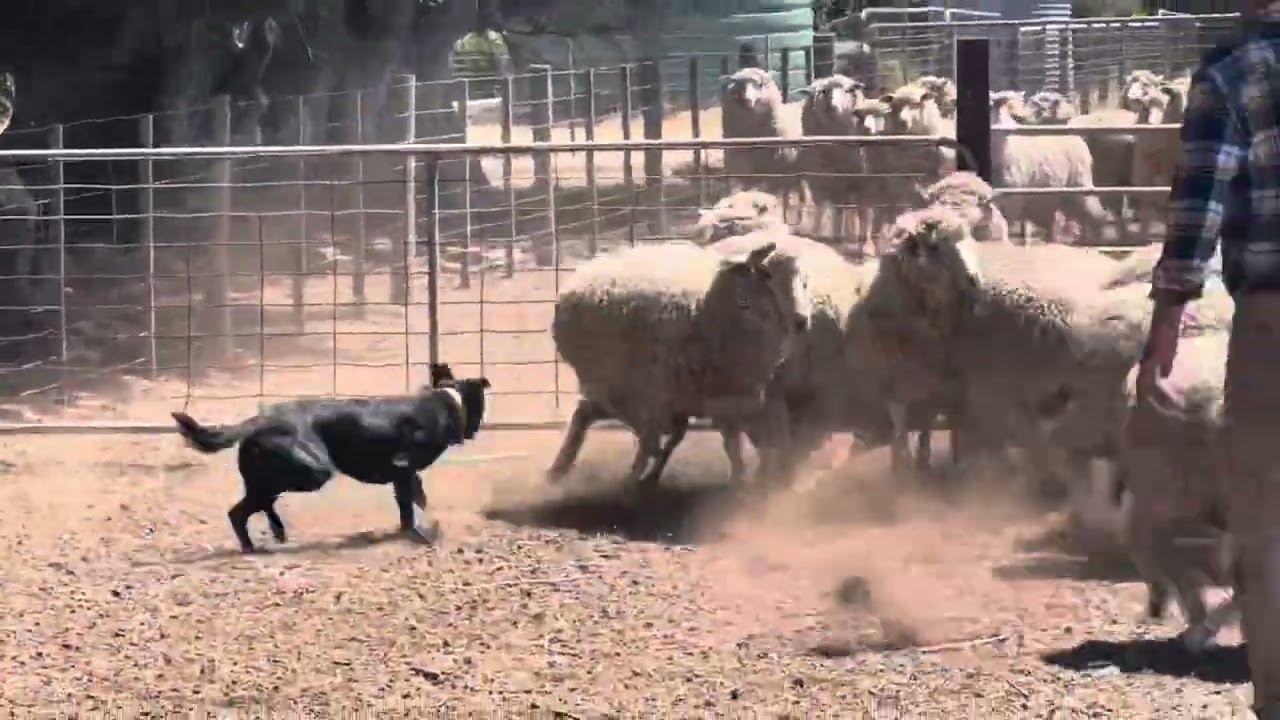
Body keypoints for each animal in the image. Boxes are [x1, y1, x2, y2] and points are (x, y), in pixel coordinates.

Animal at [546, 240, 814, 489]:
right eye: (767, 274)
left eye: (803, 281)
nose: (802, 320)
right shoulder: (675, 396)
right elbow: (727, 442)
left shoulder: (728, 398)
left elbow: (742, 442)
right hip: (614, 382)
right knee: (609, 416)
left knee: (589, 412)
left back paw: (562, 469)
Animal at [989, 90, 1113, 246]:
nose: (1024, 116)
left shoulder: (1013, 194)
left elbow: (1006, 222)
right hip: (1057, 194)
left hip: (1077, 185)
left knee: (1094, 212)